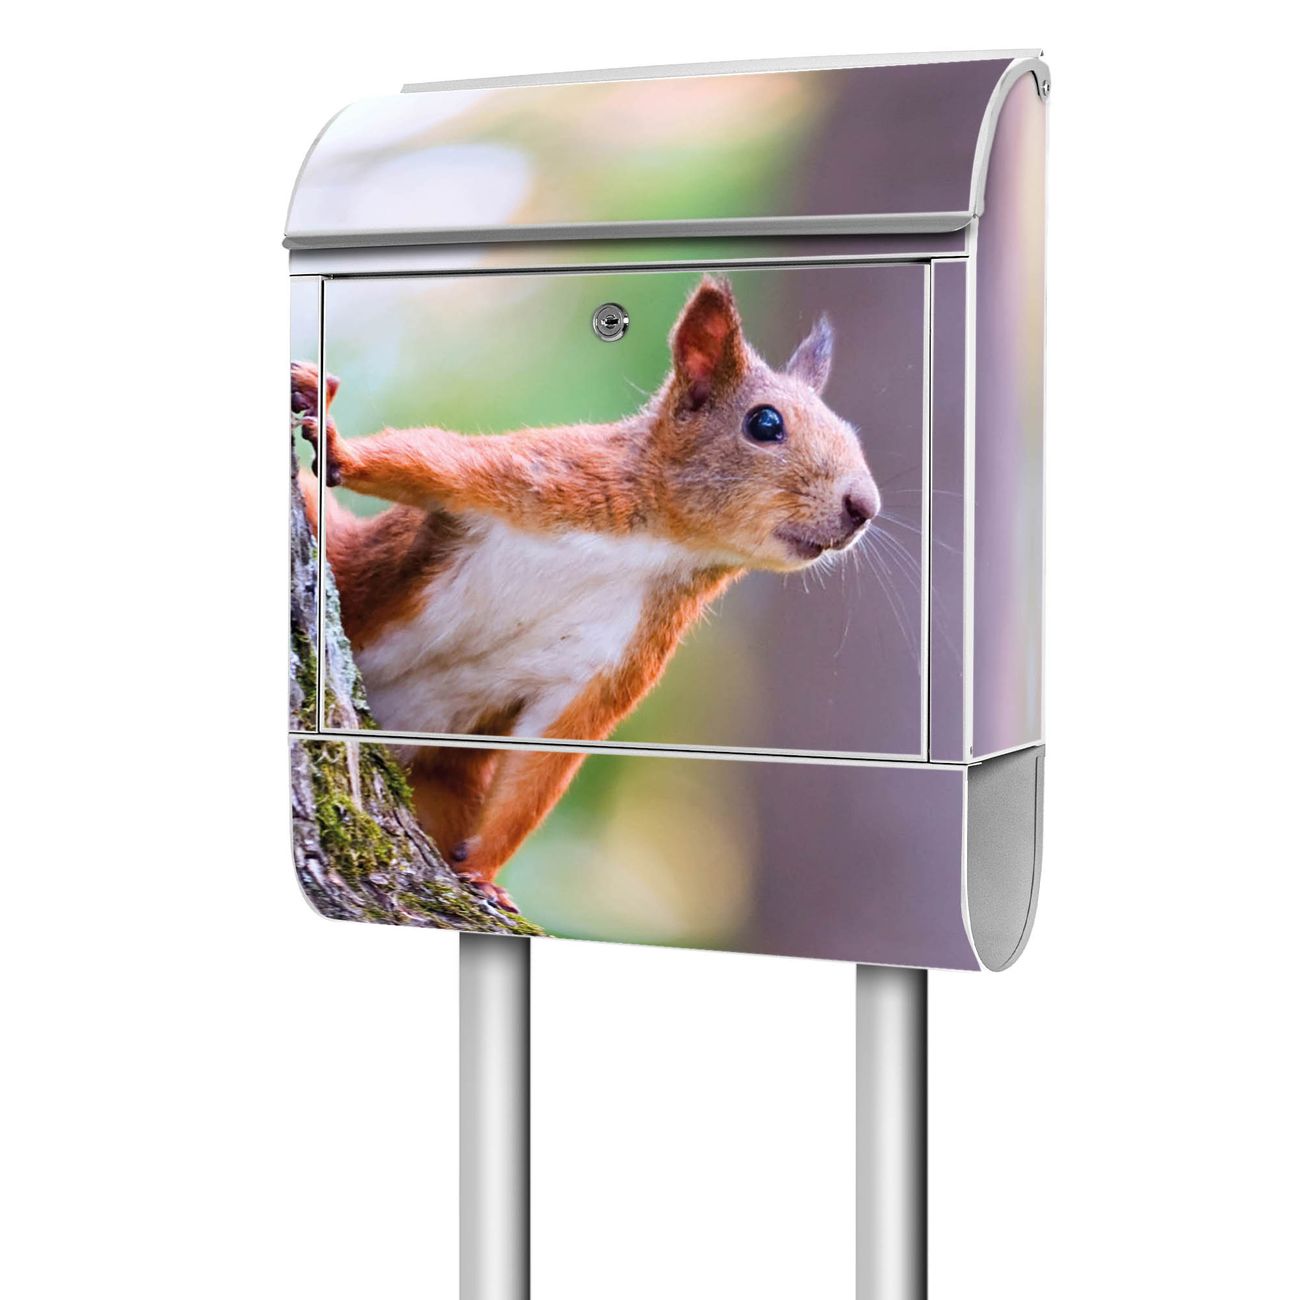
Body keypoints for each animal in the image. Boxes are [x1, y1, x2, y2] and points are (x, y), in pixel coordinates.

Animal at [292, 277, 880, 909]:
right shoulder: (541, 476)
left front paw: (482, 872)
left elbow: (549, 754)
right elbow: (426, 461)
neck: (659, 545)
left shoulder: (618, 656)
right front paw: (339, 446)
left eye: (852, 433)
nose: (864, 507)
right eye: (765, 424)